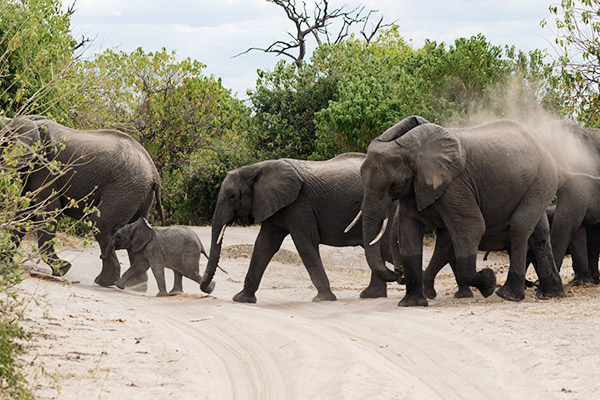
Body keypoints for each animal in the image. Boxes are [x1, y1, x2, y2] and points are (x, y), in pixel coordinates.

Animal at [0, 115, 164, 288]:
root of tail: (155, 173)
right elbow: (24, 211)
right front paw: (4, 262)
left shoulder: (46, 166)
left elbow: (48, 210)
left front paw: (63, 269)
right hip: (139, 194)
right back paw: (136, 286)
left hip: (126, 188)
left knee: (100, 224)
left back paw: (104, 282)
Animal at [199, 153, 400, 304]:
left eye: (232, 196)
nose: (211, 287)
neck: (255, 168)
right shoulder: (276, 205)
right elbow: (264, 244)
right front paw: (241, 299)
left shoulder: (299, 204)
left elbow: (304, 242)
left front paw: (323, 299)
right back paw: (370, 296)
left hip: (387, 207)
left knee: (384, 247)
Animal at [358, 115, 564, 306]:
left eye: (393, 184)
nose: (398, 274)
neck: (412, 146)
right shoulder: (415, 188)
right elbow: (410, 234)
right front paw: (412, 304)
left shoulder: (455, 186)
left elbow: (472, 227)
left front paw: (488, 282)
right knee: (539, 233)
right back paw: (550, 294)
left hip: (541, 180)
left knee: (519, 227)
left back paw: (507, 295)